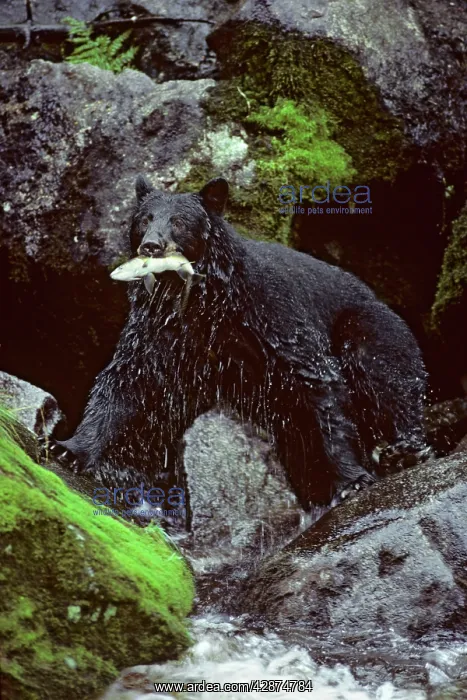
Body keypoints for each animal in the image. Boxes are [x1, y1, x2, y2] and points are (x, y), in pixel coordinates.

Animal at [58, 176, 428, 508]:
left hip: (371, 327)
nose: (151, 246)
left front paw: (351, 479)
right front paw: (71, 447)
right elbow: (126, 379)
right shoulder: (160, 328)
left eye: (179, 221)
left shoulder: (272, 312)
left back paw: (404, 450)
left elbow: (317, 380)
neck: (202, 300)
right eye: (144, 219)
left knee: (385, 379)